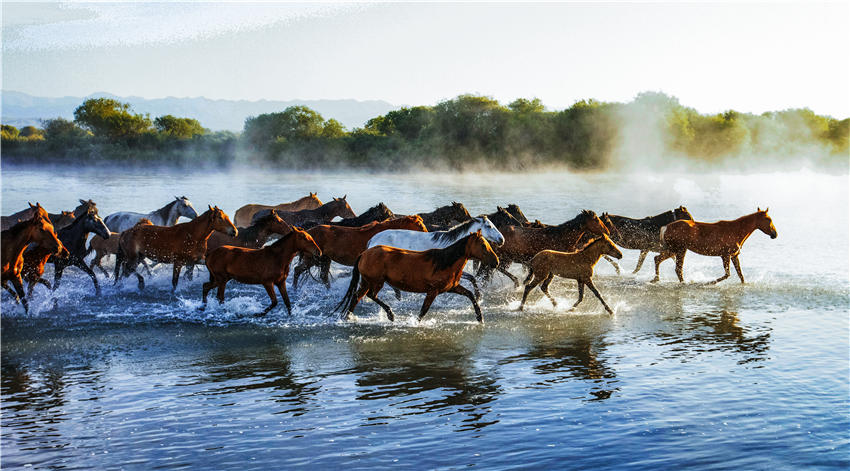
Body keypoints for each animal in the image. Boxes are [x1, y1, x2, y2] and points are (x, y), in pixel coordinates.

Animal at [291, 215, 428, 290]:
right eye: (421, 226)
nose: (428, 234)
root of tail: (308, 232)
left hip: (324, 258)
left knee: (323, 277)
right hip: (312, 258)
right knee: (297, 270)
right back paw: (294, 288)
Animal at [335, 230, 499, 323]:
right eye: (483, 245)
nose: (496, 262)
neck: (444, 262)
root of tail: (364, 253)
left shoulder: (451, 287)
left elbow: (470, 295)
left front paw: (480, 318)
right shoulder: (433, 291)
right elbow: (424, 310)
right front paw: (415, 322)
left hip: (366, 281)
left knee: (357, 297)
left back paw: (348, 317)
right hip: (375, 282)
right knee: (370, 295)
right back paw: (390, 315)